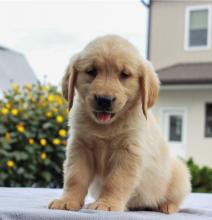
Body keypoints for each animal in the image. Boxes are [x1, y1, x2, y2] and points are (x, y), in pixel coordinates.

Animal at [48, 34, 190, 213]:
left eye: (124, 74)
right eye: (91, 71)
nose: (104, 100)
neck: (107, 126)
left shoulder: (128, 152)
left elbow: (116, 181)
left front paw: (106, 204)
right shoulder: (80, 148)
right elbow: (75, 177)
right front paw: (67, 200)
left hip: (180, 174)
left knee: (175, 199)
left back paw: (167, 206)